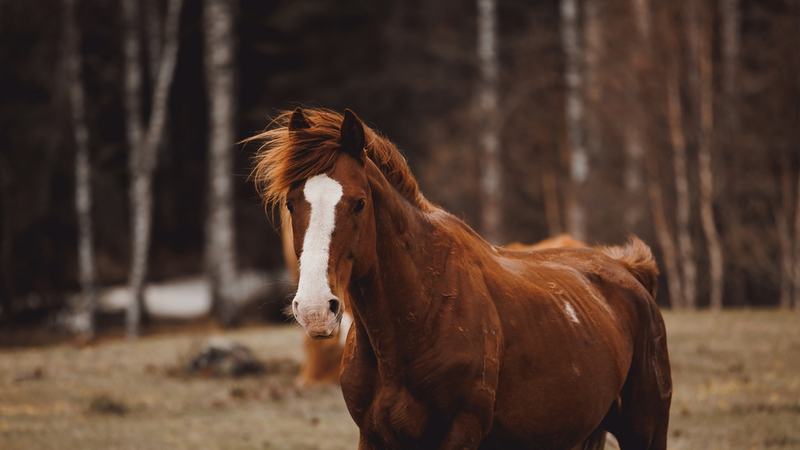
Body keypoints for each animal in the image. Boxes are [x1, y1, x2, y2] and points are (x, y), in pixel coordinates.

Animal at [251, 107, 672, 449]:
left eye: (358, 203)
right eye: (292, 203)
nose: (315, 310)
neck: (420, 315)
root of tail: (630, 272)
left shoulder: (461, 432)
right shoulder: (373, 436)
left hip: (645, 430)